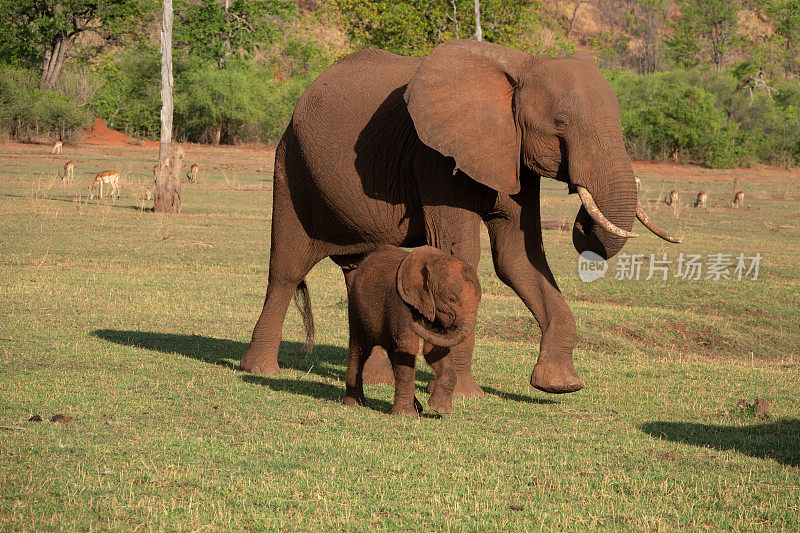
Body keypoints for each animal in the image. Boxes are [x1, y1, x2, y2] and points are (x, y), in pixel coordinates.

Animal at [241, 40, 680, 394]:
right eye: (560, 124)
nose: (582, 219)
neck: (521, 64)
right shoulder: (434, 156)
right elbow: (461, 256)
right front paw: (467, 395)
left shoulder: (513, 157)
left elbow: (518, 259)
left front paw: (560, 386)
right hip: (290, 165)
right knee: (286, 269)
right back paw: (260, 370)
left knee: (362, 272)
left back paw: (378, 379)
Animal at [344, 245, 482, 416]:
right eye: (451, 299)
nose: (415, 324)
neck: (433, 261)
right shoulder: (401, 301)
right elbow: (409, 346)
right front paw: (406, 415)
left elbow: (434, 348)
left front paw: (439, 409)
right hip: (356, 305)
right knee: (360, 349)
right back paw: (355, 403)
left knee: (393, 353)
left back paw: (418, 407)